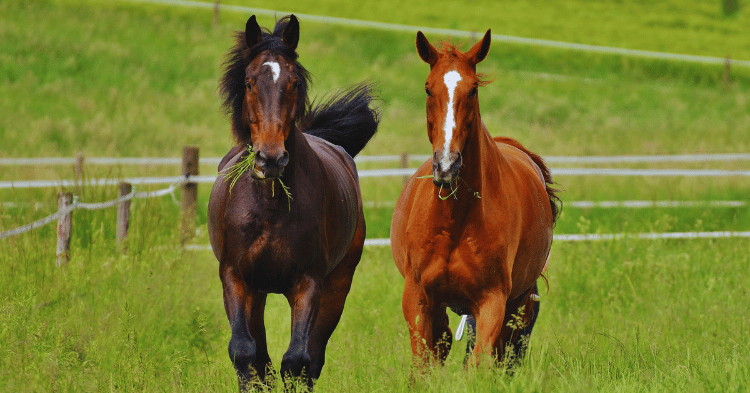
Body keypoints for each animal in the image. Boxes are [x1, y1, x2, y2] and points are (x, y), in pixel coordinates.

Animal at [209, 15, 378, 388]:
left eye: (295, 82)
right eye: (249, 82)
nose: (271, 158)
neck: (269, 209)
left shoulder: (308, 283)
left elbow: (297, 360)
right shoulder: (235, 278)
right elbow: (245, 352)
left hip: (337, 287)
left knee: (311, 358)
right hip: (257, 292)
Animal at [390, 30, 560, 368]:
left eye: (472, 90)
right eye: (428, 88)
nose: (446, 165)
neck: (454, 221)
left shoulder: (492, 301)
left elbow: (479, 363)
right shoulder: (417, 297)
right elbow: (424, 364)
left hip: (517, 303)